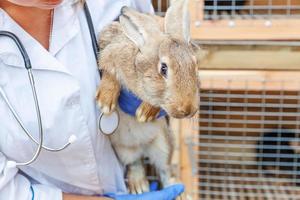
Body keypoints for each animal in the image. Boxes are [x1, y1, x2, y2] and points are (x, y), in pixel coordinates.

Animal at [96, 0, 199, 195]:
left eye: (195, 66)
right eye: (163, 69)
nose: (188, 109)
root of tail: (143, 146)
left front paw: (146, 112)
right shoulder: (110, 51)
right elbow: (110, 73)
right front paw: (105, 101)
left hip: (164, 143)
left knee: (165, 169)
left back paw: (177, 193)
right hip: (125, 149)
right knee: (136, 163)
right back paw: (139, 188)